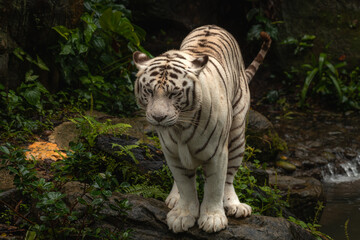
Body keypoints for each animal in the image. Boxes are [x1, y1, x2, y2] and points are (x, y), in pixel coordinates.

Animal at [132, 24, 270, 232]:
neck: (180, 129)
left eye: (174, 93)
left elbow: (215, 186)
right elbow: (185, 185)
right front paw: (182, 215)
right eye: (149, 91)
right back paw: (174, 198)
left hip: (237, 134)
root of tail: (213, 25)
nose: (158, 117)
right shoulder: (172, 153)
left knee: (229, 177)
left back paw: (235, 205)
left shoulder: (217, 153)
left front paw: (213, 219)